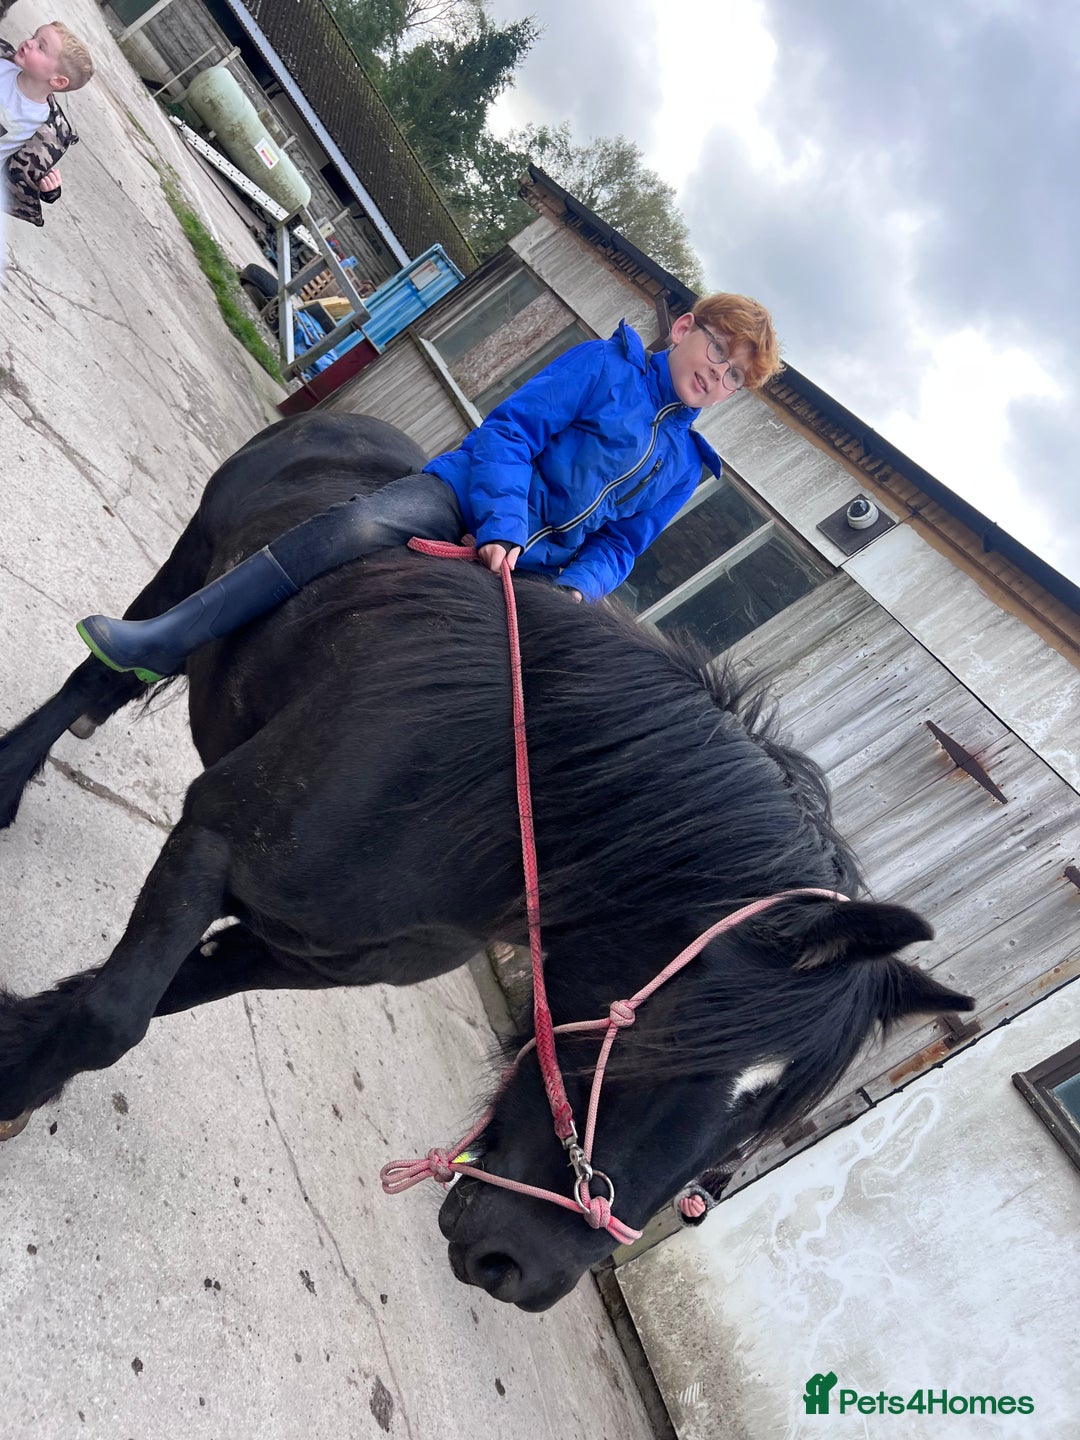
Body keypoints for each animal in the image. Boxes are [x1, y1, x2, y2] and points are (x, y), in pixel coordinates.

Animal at [0, 412, 973, 1311]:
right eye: (663, 1044)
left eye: (756, 1128)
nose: (525, 1272)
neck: (477, 793)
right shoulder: (212, 841)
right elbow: (115, 1019)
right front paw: (19, 1080)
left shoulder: (294, 954)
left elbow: (144, 1000)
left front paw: (19, 1050)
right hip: (193, 554)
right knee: (105, 671)